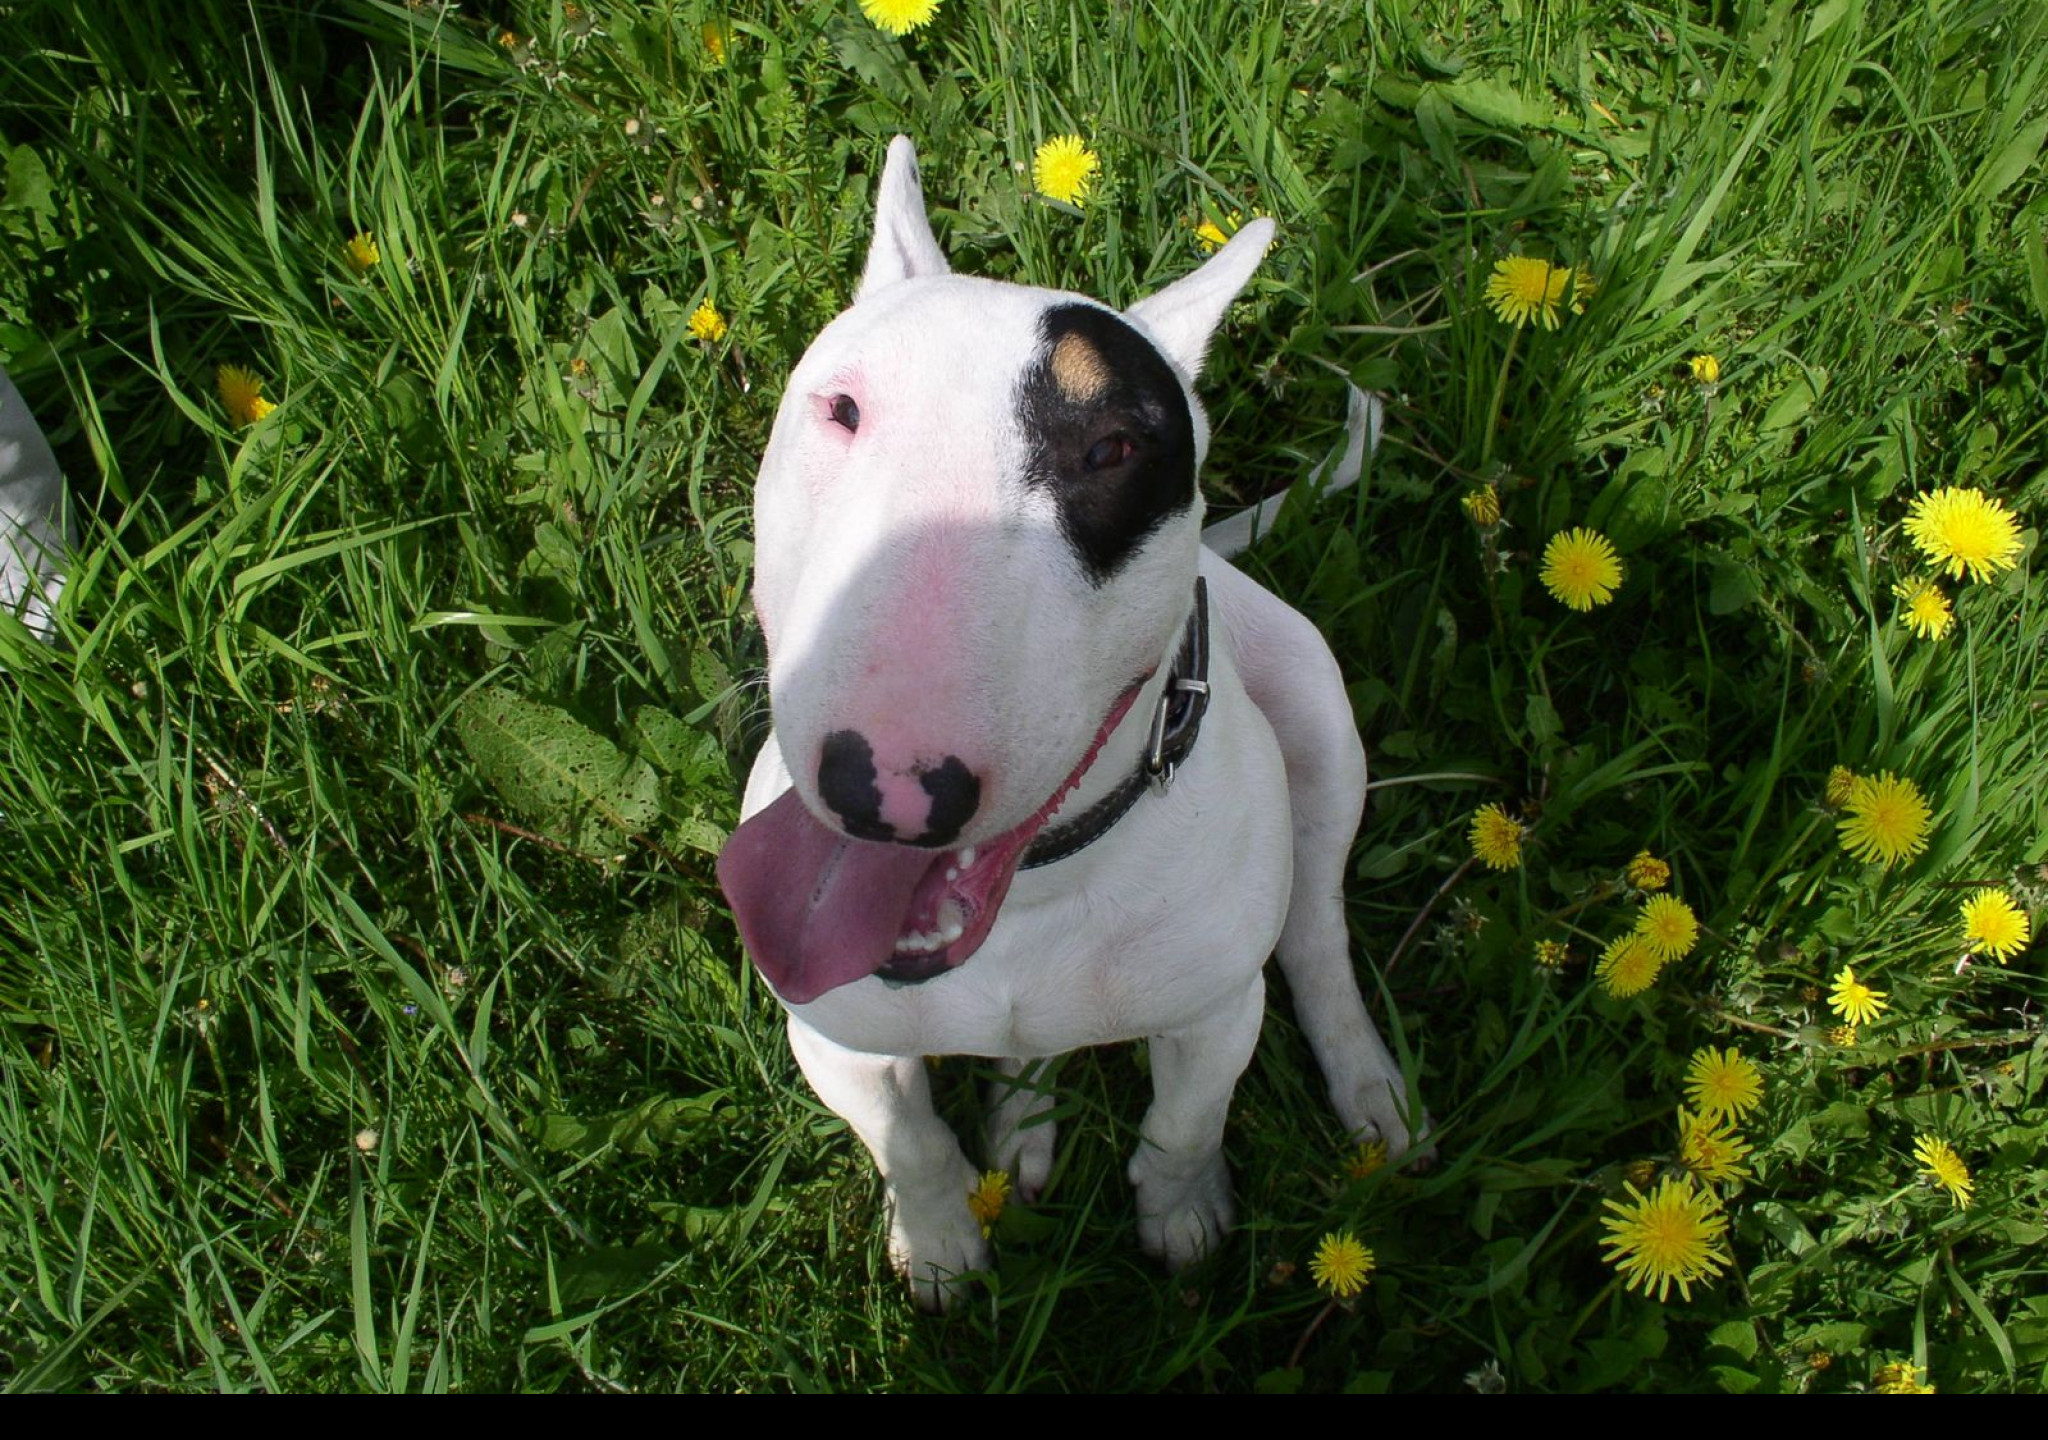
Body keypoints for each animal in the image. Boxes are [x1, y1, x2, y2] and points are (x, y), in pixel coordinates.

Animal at [720, 141, 1425, 1310]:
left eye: (1113, 448)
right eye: (842, 409)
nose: (886, 792)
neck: (1038, 892)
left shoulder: (1214, 1016)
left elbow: (1185, 1121)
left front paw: (1182, 1215)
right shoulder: (829, 1039)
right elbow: (909, 1143)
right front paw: (941, 1242)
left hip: (1320, 717)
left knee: (1315, 926)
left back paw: (1367, 1084)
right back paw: (1021, 1125)